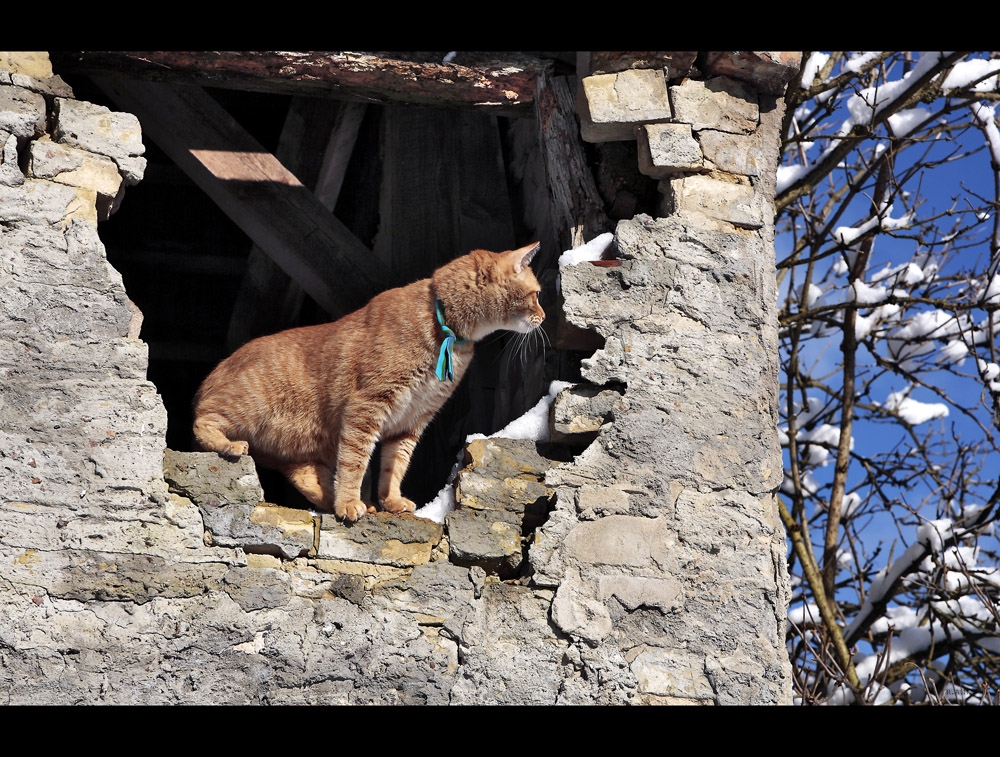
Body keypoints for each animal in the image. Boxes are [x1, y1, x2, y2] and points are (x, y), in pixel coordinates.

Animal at [190, 242, 544, 520]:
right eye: (537, 295)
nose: (543, 317)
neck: (446, 330)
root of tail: (217, 368)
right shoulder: (368, 406)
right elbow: (355, 463)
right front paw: (349, 502)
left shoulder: (412, 420)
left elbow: (394, 465)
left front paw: (389, 500)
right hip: (246, 407)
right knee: (200, 421)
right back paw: (227, 444)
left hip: (298, 447)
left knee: (306, 477)